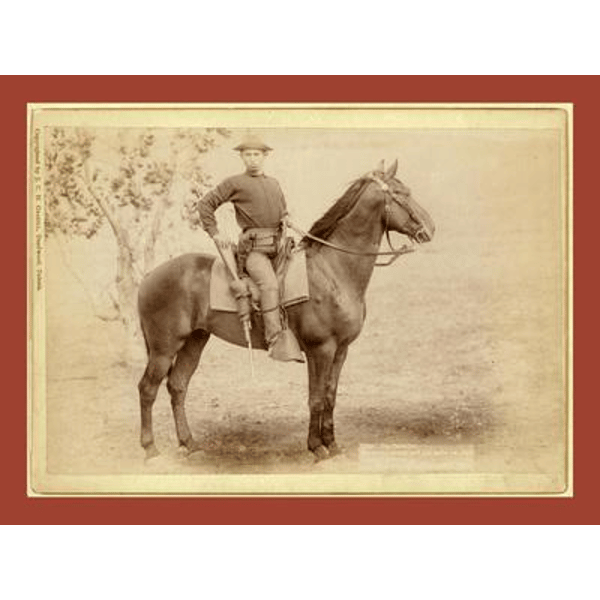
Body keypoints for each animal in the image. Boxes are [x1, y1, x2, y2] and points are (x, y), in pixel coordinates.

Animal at [137, 159, 435, 461]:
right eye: (400, 194)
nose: (430, 228)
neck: (332, 271)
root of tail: (149, 277)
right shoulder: (320, 349)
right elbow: (316, 398)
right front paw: (317, 447)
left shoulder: (341, 349)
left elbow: (330, 396)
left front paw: (332, 444)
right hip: (164, 349)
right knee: (148, 389)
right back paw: (150, 448)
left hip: (194, 341)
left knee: (177, 386)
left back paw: (189, 443)